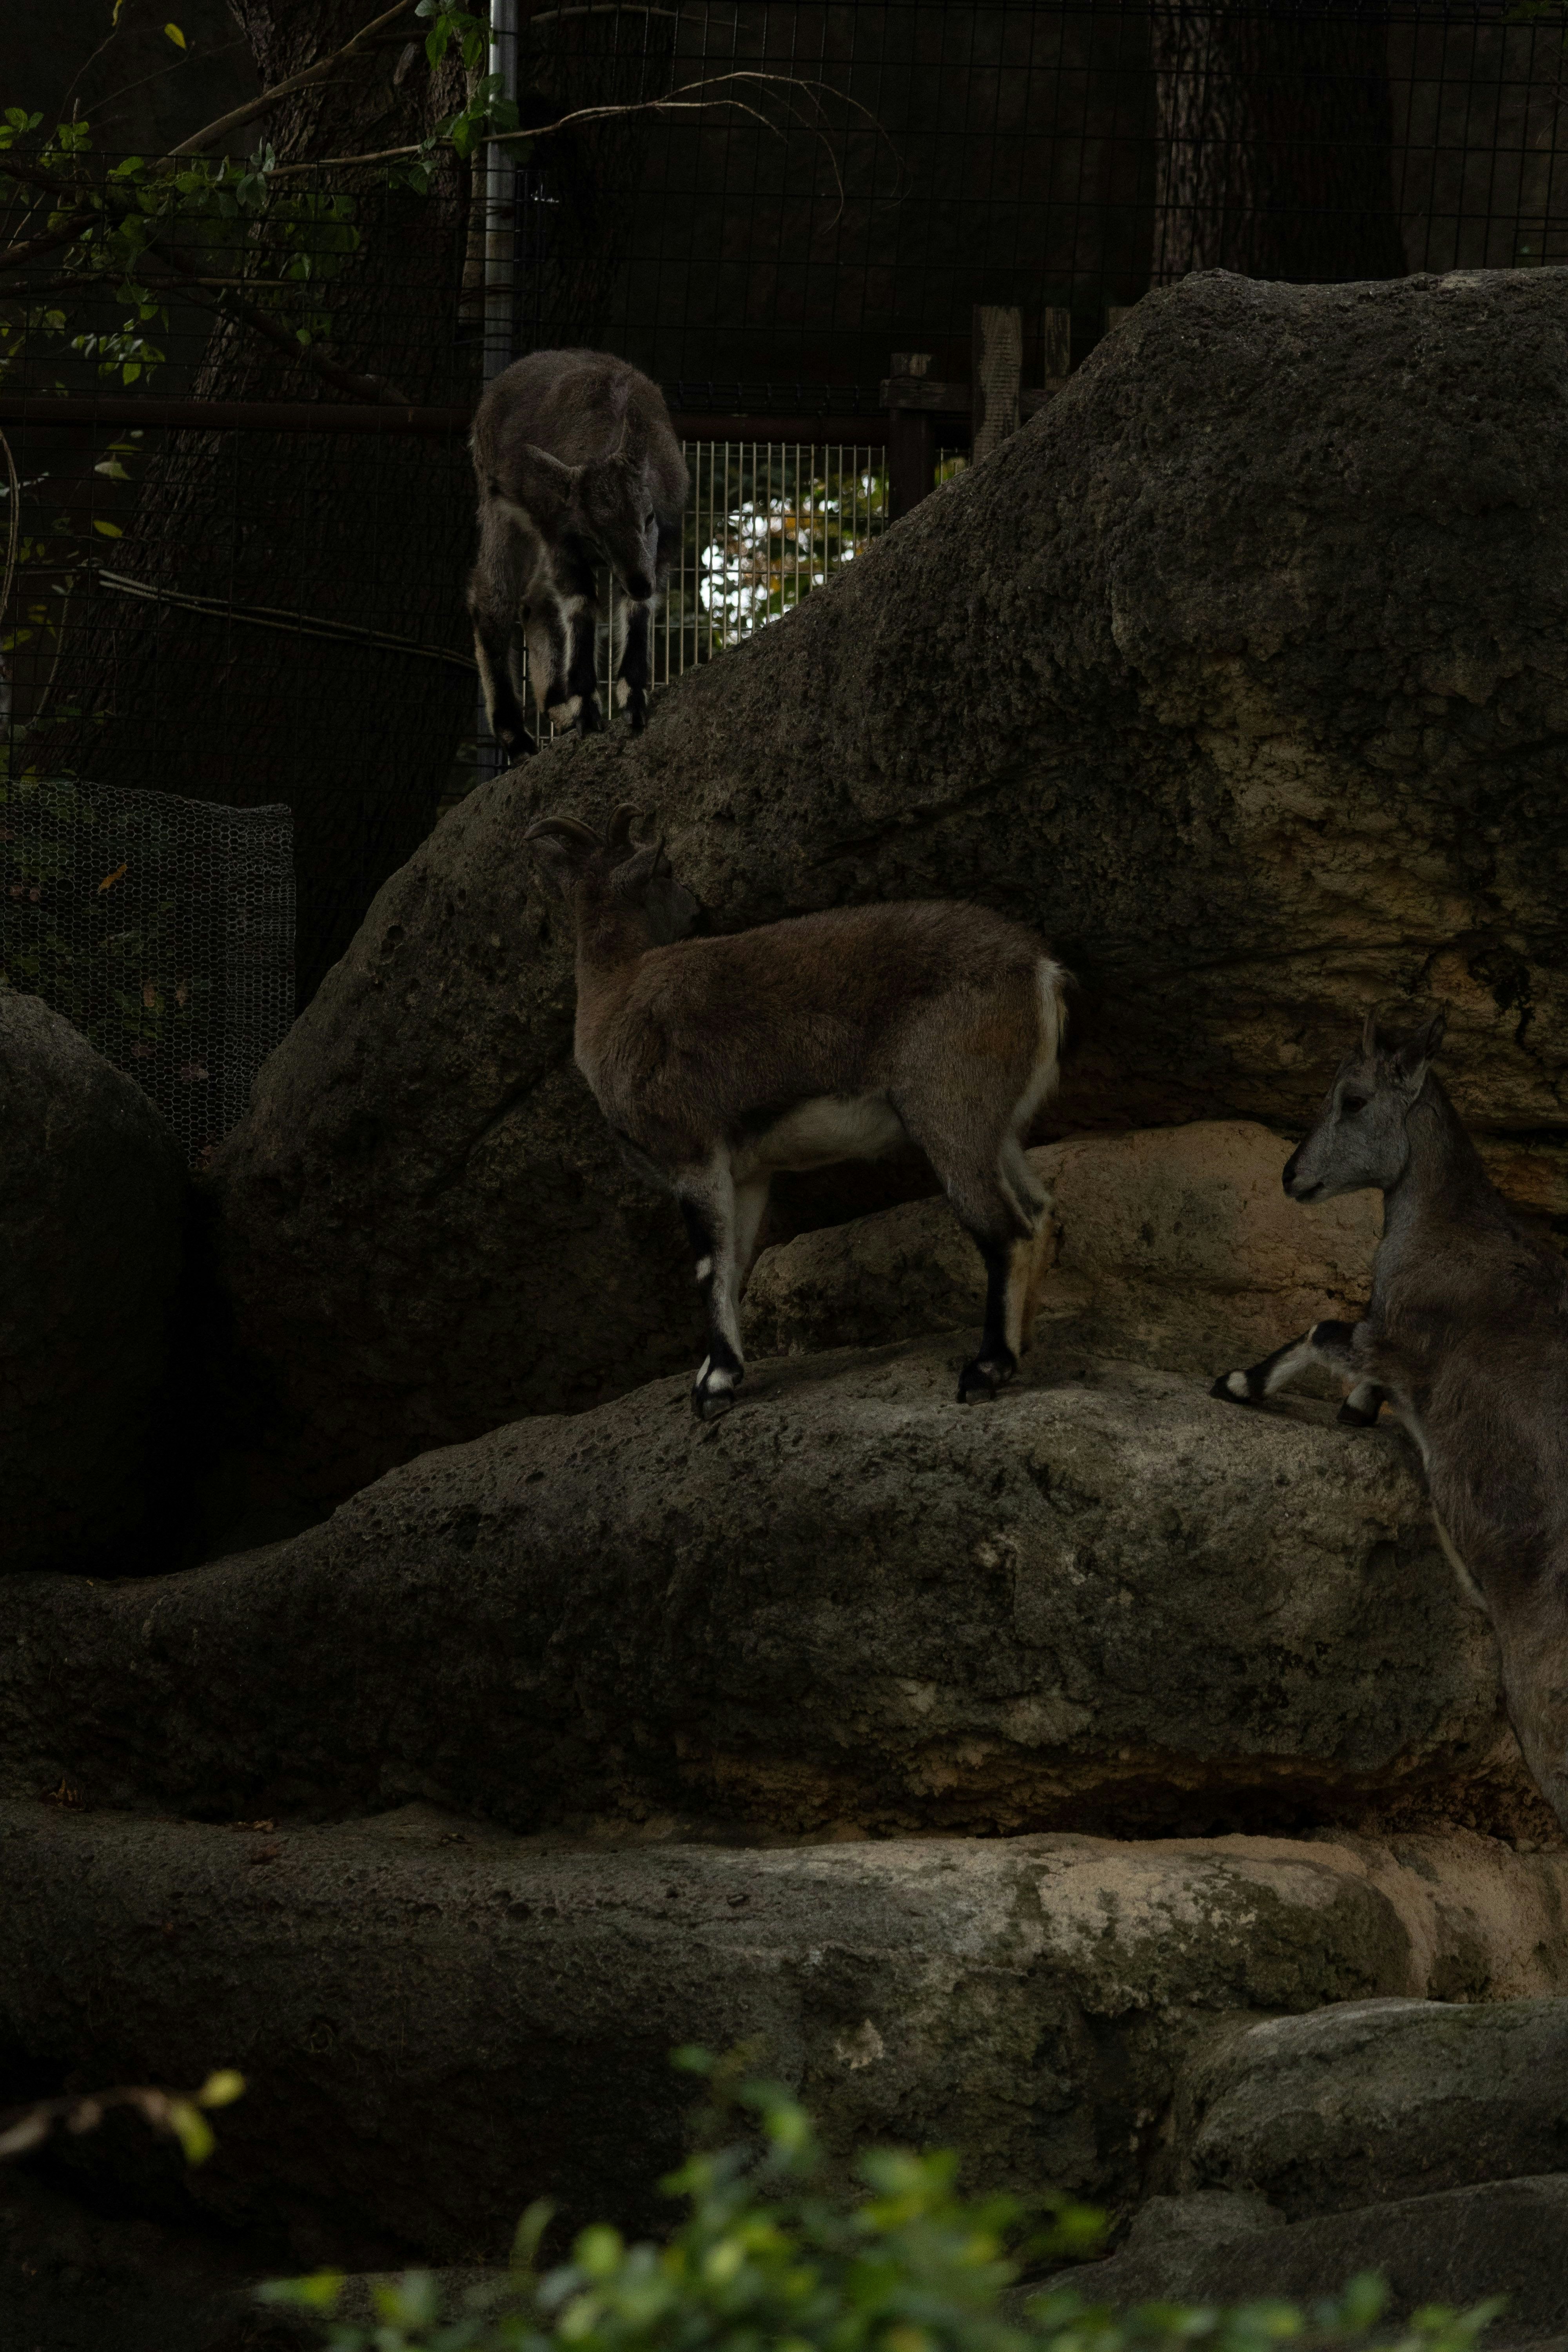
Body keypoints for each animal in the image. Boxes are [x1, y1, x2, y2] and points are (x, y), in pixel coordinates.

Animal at [468, 350, 690, 760]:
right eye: (594, 536)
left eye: (648, 516)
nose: (638, 583)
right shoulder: (562, 544)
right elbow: (581, 607)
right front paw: (587, 707)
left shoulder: (661, 550)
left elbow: (639, 609)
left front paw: (633, 699)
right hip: (501, 517)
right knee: (493, 601)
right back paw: (517, 735)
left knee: (536, 601)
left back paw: (558, 704)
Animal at [526, 806, 1071, 1421]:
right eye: (666, 870)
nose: (695, 906)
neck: (615, 994)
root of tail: (1041, 970)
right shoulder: (748, 1172)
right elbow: (734, 1260)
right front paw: (715, 1374)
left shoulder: (691, 1152)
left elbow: (709, 1267)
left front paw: (715, 1388)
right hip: (994, 1128)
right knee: (1039, 1212)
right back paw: (1024, 1345)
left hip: (949, 1112)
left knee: (1004, 1230)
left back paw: (986, 1370)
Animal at [1211, 1009, 1568, 1834]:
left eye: (1352, 1097)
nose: (1292, 1176)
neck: (1447, 1231)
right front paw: (1353, 1407)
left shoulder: (1394, 1342)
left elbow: (1322, 1331)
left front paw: (1240, 1382)